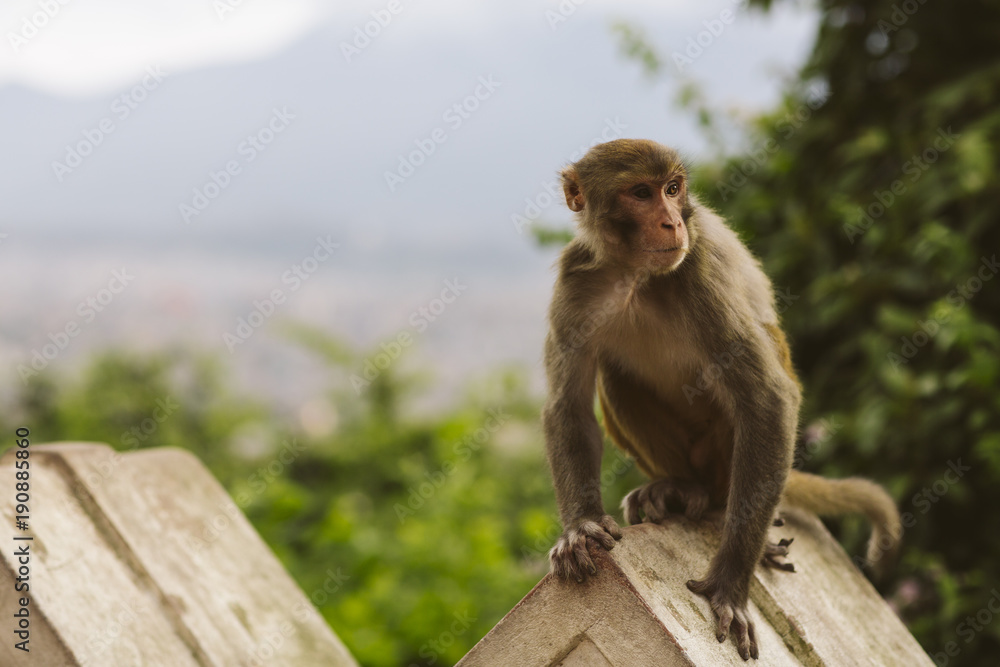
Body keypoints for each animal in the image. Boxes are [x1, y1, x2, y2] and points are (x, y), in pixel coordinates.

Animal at [542, 139, 901, 660]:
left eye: (672, 189)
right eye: (641, 193)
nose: (672, 222)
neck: (634, 275)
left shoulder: (700, 271)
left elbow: (766, 398)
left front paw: (730, 586)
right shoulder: (576, 283)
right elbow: (567, 406)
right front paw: (581, 528)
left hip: (721, 454)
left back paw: (722, 510)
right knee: (615, 375)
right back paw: (678, 487)